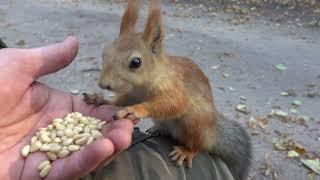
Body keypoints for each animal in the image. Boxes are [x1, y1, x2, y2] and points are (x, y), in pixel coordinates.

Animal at [83, 0, 252, 179]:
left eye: (136, 62)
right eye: (105, 53)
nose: (104, 84)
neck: (141, 87)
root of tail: (212, 133)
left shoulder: (173, 87)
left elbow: (174, 104)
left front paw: (134, 110)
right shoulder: (132, 94)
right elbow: (119, 100)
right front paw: (99, 98)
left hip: (196, 121)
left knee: (198, 145)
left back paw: (186, 151)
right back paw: (159, 129)